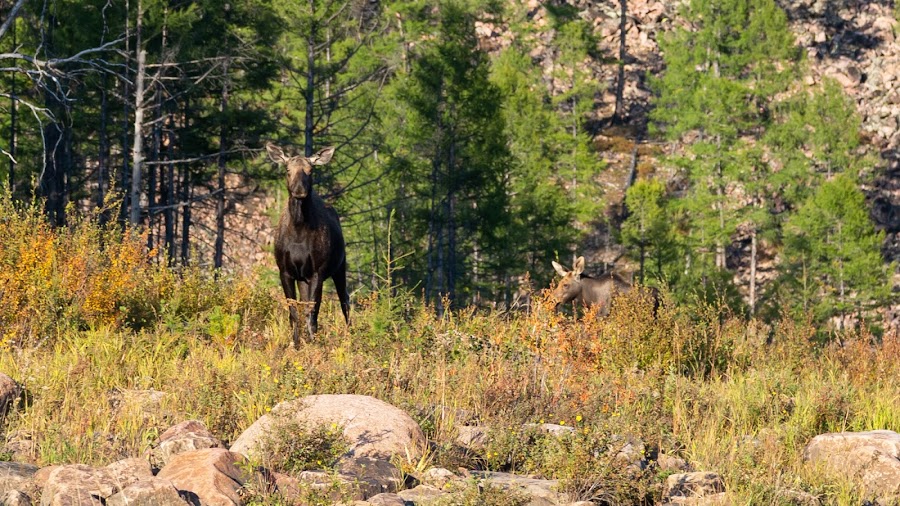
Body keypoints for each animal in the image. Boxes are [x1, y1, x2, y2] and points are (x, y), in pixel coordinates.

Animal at [266, 142, 350, 348]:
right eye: (288, 170)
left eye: (310, 170)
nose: (299, 191)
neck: (298, 232)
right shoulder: (285, 271)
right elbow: (294, 313)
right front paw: (296, 344)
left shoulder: (317, 272)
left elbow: (312, 313)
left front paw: (313, 344)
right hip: (303, 278)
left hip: (339, 267)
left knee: (345, 300)